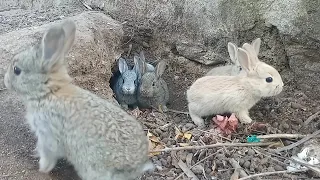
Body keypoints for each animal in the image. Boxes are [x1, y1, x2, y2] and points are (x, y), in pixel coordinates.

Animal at [3, 19, 154, 180]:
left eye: (16, 70)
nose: (5, 81)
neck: (50, 92)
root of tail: (135, 168)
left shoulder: (47, 135)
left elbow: (48, 155)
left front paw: (42, 169)